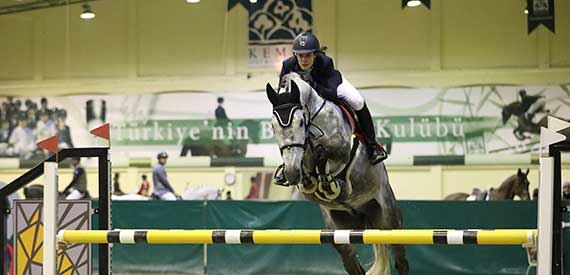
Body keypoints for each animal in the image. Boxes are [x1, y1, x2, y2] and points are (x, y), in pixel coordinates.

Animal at [264, 73, 406, 275]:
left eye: (301, 122)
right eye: (273, 126)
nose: (291, 173)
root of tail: (364, 214)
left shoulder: (343, 150)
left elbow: (326, 154)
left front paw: (328, 179)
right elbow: (308, 169)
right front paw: (311, 178)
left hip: (389, 219)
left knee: (401, 259)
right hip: (339, 231)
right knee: (352, 263)